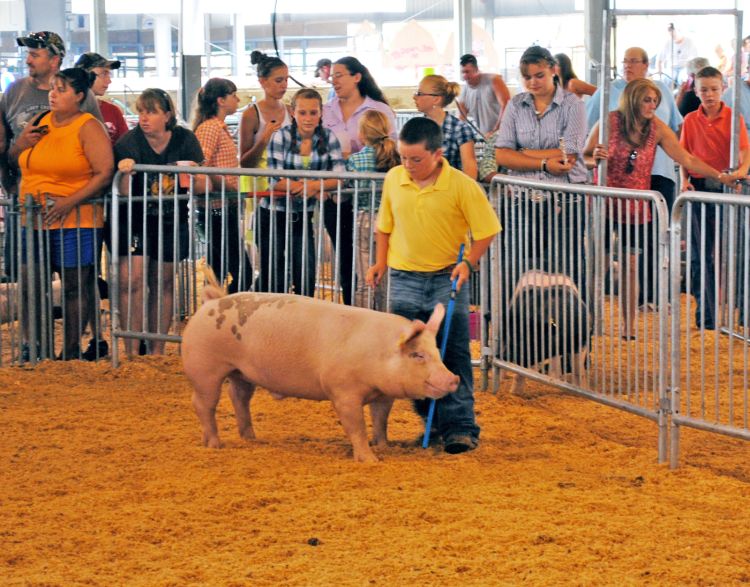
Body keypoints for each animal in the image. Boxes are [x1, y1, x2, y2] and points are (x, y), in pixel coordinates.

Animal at [181, 273, 459, 462]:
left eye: (437, 352)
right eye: (417, 355)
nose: (453, 378)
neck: (376, 353)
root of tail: (209, 303)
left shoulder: (384, 395)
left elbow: (381, 421)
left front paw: (383, 447)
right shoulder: (343, 392)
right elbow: (356, 426)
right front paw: (371, 460)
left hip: (242, 373)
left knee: (238, 396)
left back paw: (251, 438)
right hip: (205, 369)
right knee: (203, 403)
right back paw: (215, 445)